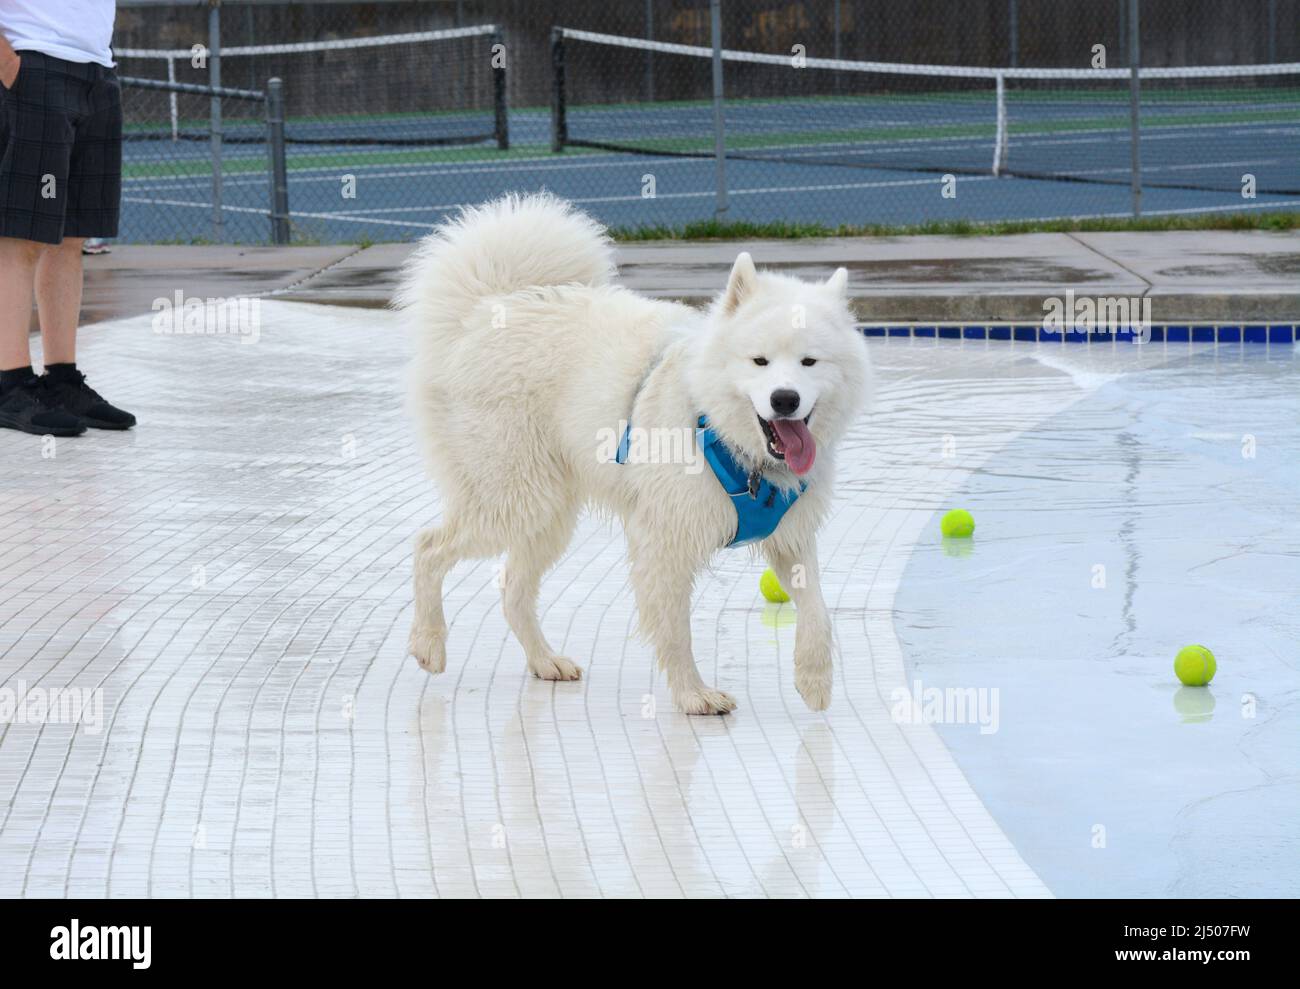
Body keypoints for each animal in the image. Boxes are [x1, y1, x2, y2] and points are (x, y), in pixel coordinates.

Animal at [392, 194, 863, 717]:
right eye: (759, 361)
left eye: (809, 362)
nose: (785, 400)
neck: (722, 433)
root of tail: (488, 308)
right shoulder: (664, 541)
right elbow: (676, 632)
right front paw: (694, 695)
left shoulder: (791, 536)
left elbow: (818, 609)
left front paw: (815, 679)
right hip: (516, 500)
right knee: (428, 547)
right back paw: (429, 644)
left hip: (547, 514)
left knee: (512, 588)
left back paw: (545, 662)